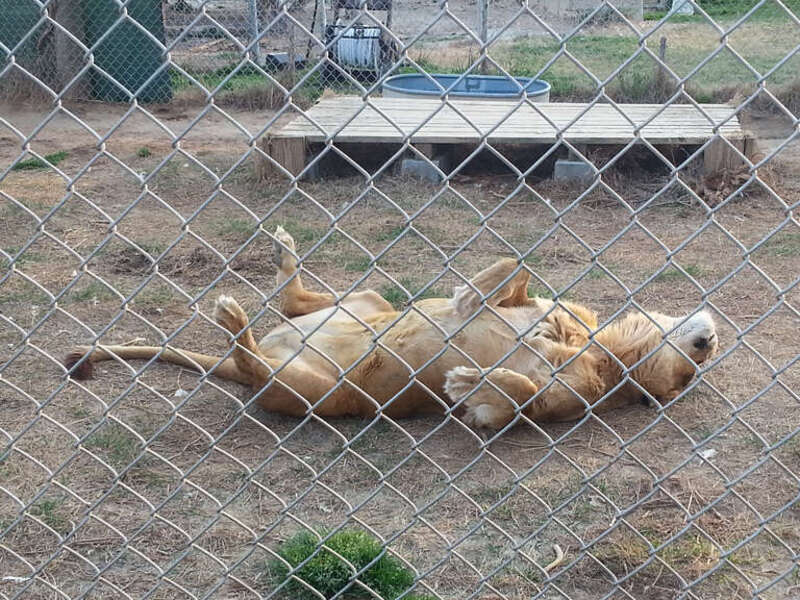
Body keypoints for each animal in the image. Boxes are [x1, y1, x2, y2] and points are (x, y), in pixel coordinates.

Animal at [65, 226, 718, 430]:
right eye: (695, 367)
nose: (710, 341)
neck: (607, 356)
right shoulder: (555, 306)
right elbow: (518, 268)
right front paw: (474, 292)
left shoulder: (550, 404)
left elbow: (516, 398)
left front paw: (468, 382)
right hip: (367, 299)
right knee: (294, 300)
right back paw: (282, 258)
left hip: (315, 390)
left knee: (252, 355)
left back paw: (235, 321)